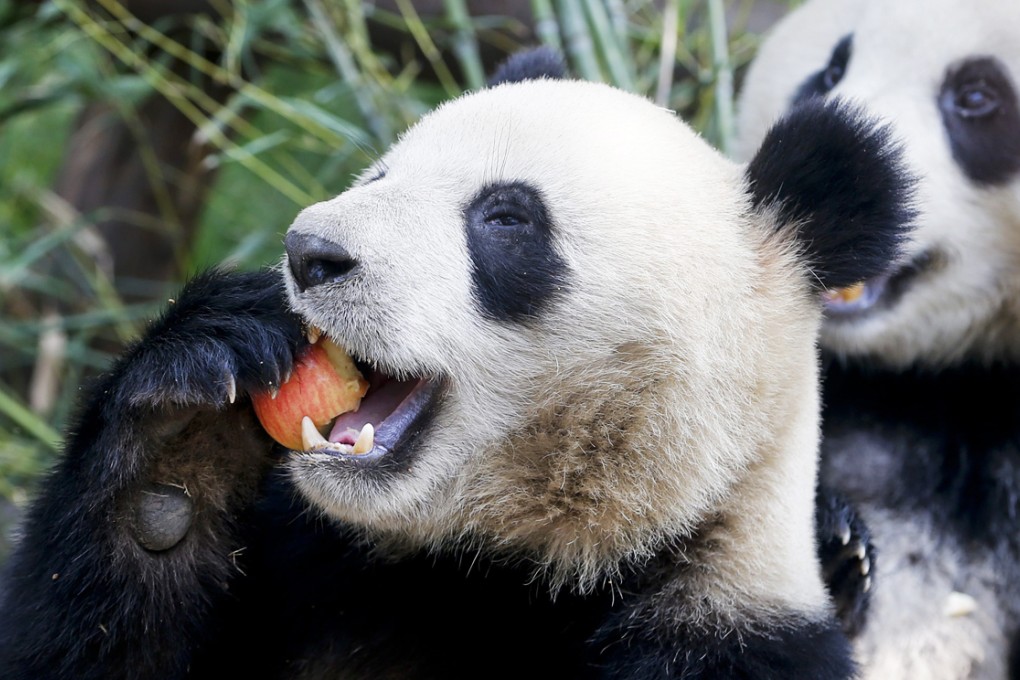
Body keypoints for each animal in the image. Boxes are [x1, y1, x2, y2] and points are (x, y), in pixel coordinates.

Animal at [0, 50, 914, 679]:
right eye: (378, 175)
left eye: (506, 218)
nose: (310, 252)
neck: (500, 567)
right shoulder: (310, 566)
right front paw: (183, 438)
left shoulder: (723, 626)